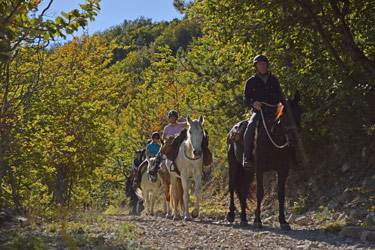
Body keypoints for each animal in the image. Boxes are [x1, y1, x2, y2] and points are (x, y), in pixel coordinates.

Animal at [226, 91, 302, 229]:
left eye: (299, 112)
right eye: (284, 115)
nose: (294, 139)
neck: (273, 138)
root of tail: (231, 132)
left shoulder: (283, 169)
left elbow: (281, 194)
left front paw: (283, 221)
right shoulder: (259, 168)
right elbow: (260, 193)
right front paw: (258, 221)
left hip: (248, 171)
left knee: (243, 191)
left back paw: (243, 219)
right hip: (234, 165)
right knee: (232, 187)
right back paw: (231, 215)